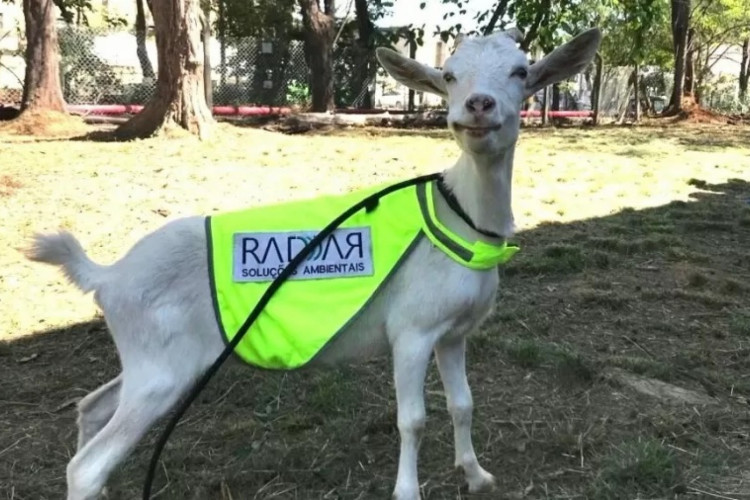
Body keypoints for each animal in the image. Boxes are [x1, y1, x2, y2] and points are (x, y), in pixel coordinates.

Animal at [25, 27, 601, 500]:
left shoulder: (454, 332)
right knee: (87, 466)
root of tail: (107, 275)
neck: (460, 219)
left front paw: (477, 475)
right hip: (161, 370)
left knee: (92, 407)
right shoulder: (411, 330)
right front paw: (407, 491)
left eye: (521, 71)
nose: (478, 106)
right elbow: (412, 419)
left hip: (150, 360)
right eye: (450, 75)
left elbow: (463, 403)